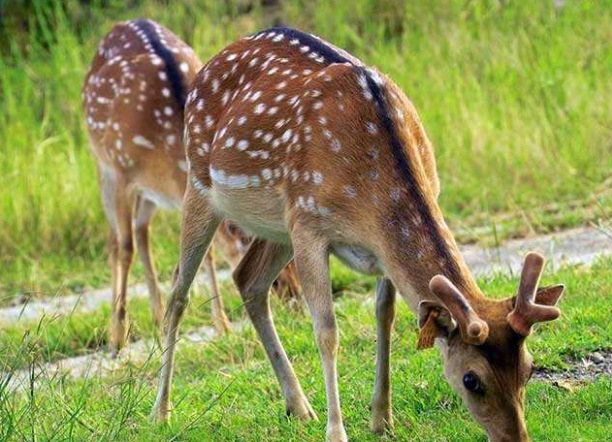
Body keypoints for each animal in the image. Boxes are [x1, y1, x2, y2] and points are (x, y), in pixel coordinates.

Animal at [82, 19, 302, 352]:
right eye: (277, 279)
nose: (294, 297)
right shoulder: (119, 170)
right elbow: (124, 247)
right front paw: (118, 337)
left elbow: (204, 251)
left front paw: (222, 324)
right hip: (101, 163)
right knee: (118, 239)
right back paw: (122, 327)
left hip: (148, 194)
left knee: (142, 230)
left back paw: (158, 315)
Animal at [151, 27, 568, 442]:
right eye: (471, 379)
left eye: (528, 367)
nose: (516, 437)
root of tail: (206, 66)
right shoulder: (309, 223)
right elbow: (326, 330)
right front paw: (337, 432)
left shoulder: (377, 244)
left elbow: (385, 315)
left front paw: (382, 417)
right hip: (201, 185)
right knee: (179, 292)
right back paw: (162, 411)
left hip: (277, 225)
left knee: (247, 279)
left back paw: (299, 406)